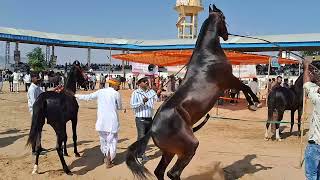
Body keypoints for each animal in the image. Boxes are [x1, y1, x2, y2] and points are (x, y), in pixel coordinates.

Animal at [125, 4, 260, 179]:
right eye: (224, 18)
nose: (226, 35)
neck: (208, 55)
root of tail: (152, 130)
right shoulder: (229, 80)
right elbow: (246, 87)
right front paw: (254, 103)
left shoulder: (228, 83)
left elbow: (244, 88)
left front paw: (252, 103)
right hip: (189, 147)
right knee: (173, 173)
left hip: (169, 152)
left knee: (160, 171)